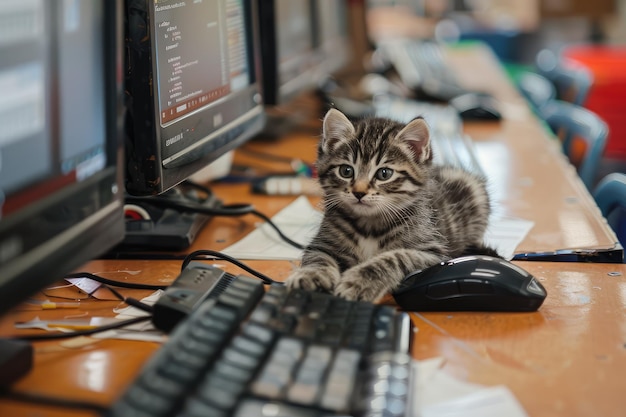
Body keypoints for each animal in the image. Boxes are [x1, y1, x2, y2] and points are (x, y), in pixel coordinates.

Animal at [286, 109, 494, 300]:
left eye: (384, 174)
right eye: (346, 171)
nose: (359, 192)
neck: (369, 225)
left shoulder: (435, 255)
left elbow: (396, 257)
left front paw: (360, 282)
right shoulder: (322, 243)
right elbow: (317, 257)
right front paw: (310, 275)